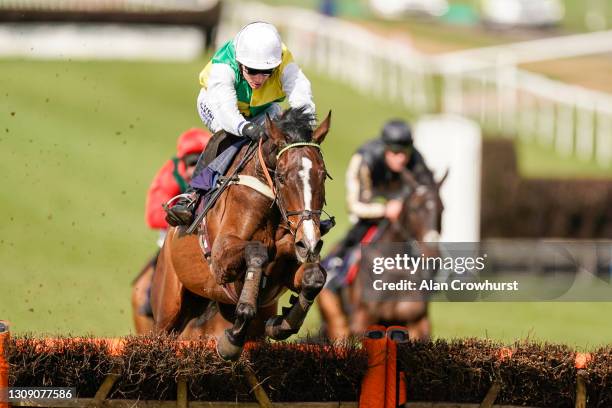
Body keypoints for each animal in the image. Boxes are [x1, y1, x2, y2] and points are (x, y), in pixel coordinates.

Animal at [151, 109, 332, 360]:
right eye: (282, 177)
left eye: (323, 176)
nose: (309, 243)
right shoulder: (220, 259)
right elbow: (257, 252)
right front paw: (233, 338)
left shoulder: (286, 270)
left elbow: (314, 278)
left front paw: (281, 324)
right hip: (168, 307)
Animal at [316, 171, 444, 342]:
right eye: (414, 208)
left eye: (442, 209)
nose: (432, 253)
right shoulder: (362, 321)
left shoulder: (417, 322)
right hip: (336, 323)